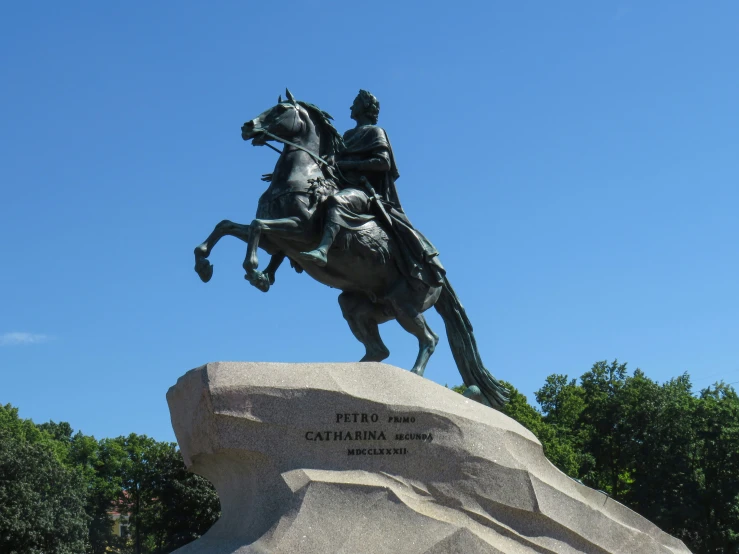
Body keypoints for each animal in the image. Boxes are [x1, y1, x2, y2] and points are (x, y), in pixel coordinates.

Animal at [192, 90, 508, 408]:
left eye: (280, 110)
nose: (247, 127)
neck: (301, 175)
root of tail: (440, 278)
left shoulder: (300, 230)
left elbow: (257, 226)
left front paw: (255, 270)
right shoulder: (276, 239)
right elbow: (227, 226)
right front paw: (204, 265)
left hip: (404, 305)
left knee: (429, 339)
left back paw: (414, 376)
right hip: (359, 306)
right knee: (379, 351)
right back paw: (355, 376)